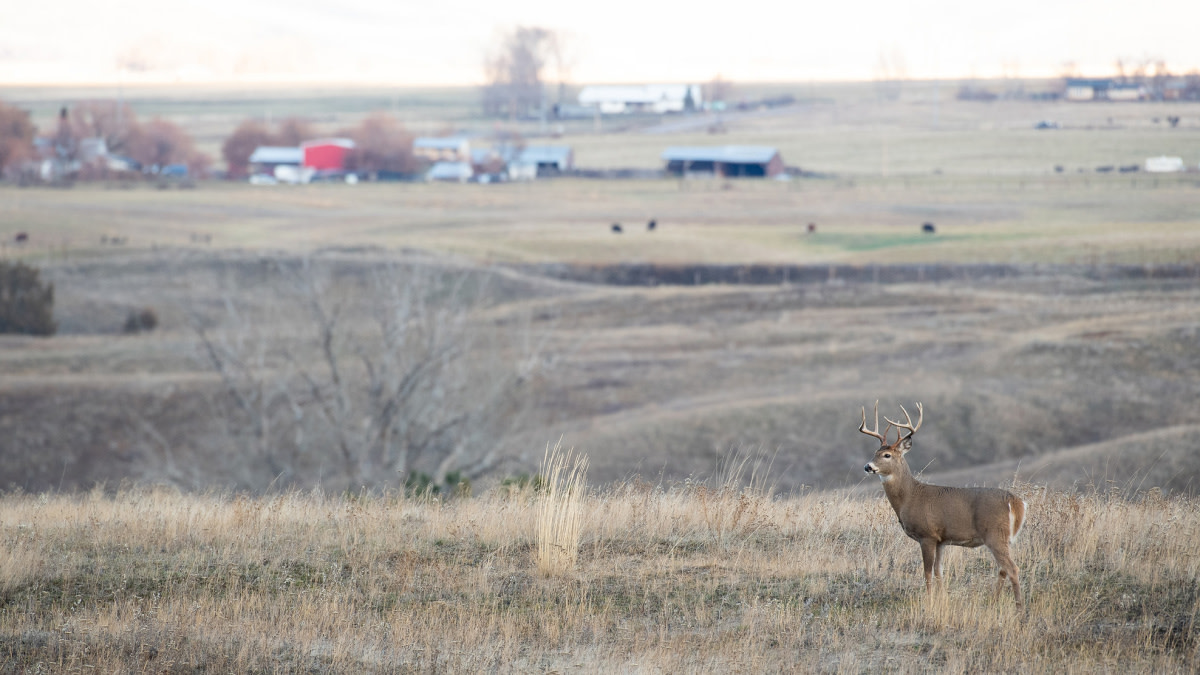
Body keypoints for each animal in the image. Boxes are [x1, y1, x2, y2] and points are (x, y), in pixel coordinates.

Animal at [859, 401, 1027, 607]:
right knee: (1002, 569)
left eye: (887, 455)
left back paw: (1020, 608)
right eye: (875, 453)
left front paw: (929, 601)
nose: (868, 466)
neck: (910, 497)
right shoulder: (941, 540)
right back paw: (993, 601)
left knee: (1012, 568)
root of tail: (1017, 502)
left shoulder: (927, 535)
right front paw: (941, 598)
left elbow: (927, 572)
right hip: (1005, 538)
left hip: (995, 534)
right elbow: (939, 571)